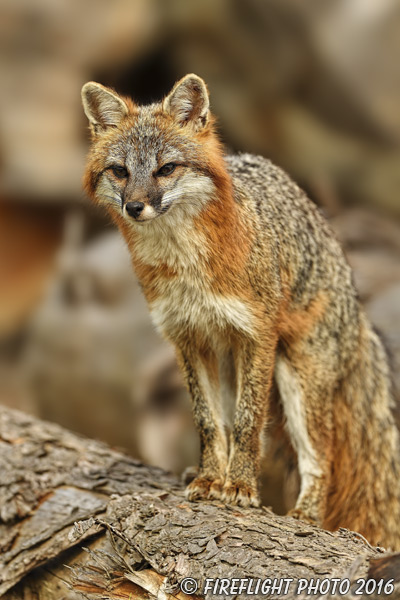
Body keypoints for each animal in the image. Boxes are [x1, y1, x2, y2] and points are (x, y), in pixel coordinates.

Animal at [80, 72, 400, 548]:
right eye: (120, 171)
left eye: (166, 169)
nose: (135, 207)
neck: (186, 267)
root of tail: (358, 306)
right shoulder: (187, 338)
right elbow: (209, 423)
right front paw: (212, 479)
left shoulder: (257, 336)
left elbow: (250, 423)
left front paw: (242, 487)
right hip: (231, 363)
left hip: (297, 378)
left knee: (319, 457)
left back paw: (305, 514)